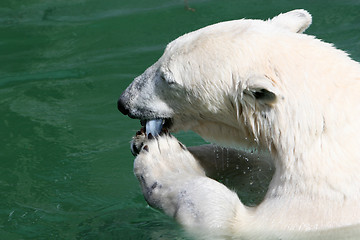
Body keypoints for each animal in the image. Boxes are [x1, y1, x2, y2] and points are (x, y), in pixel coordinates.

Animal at [117, 9, 360, 238]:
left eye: (168, 79)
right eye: (163, 53)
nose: (124, 102)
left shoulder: (323, 197)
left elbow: (232, 221)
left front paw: (166, 159)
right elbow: (257, 170)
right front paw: (144, 141)